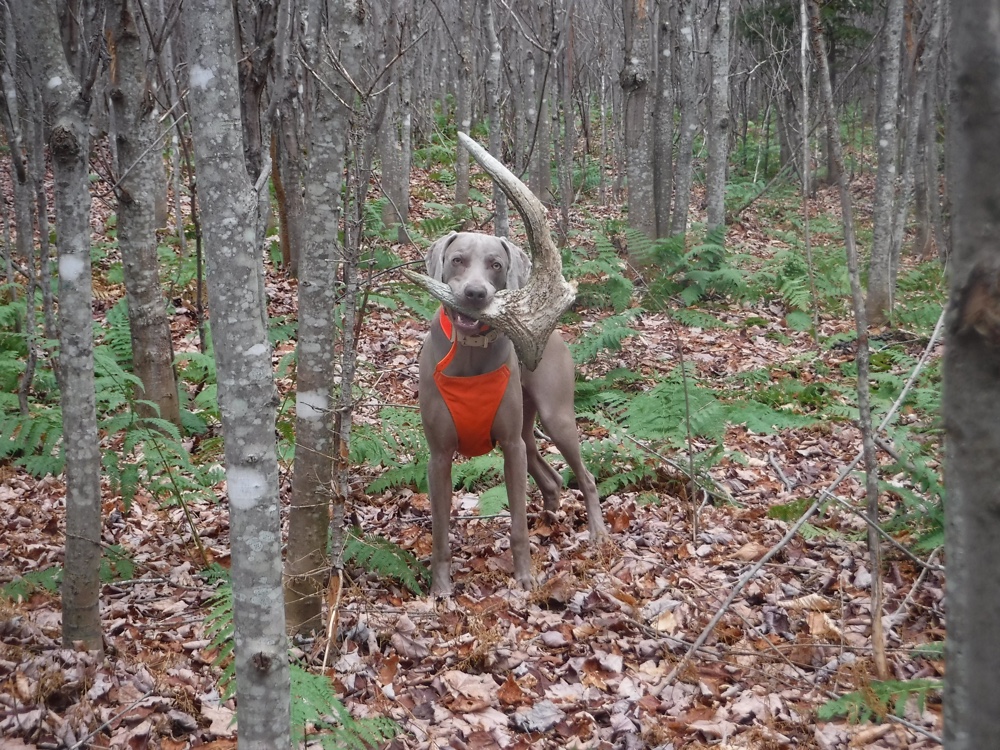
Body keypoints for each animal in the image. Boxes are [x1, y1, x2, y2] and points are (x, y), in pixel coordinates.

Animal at [416, 232, 604, 596]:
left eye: (496, 265)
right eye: (457, 260)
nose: (475, 294)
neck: (470, 353)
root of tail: (551, 333)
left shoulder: (510, 447)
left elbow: (517, 525)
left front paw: (524, 579)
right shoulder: (439, 456)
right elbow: (440, 533)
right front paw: (441, 589)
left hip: (555, 418)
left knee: (585, 477)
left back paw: (598, 532)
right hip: (527, 432)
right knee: (551, 477)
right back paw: (549, 521)